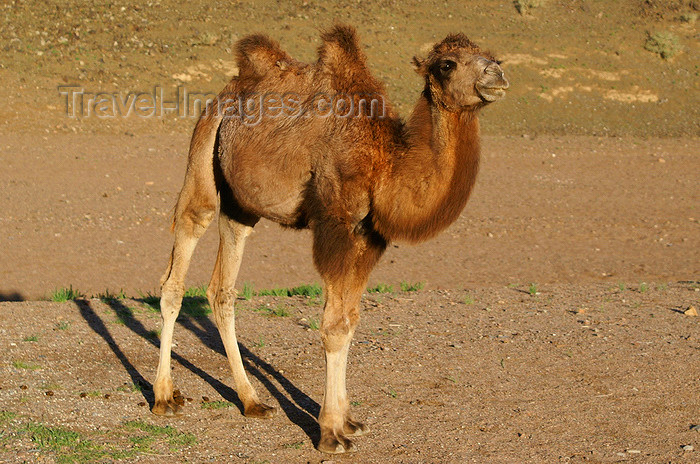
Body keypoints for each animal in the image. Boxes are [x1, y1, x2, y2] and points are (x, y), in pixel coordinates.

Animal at [154, 24, 508, 454]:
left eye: (494, 56)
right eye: (447, 64)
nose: (497, 75)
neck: (386, 163)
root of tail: (224, 95)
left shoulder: (368, 238)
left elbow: (351, 321)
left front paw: (350, 421)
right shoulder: (336, 226)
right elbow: (334, 327)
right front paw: (330, 433)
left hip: (242, 204)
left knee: (222, 289)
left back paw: (252, 401)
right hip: (203, 151)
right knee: (182, 256)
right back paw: (164, 397)